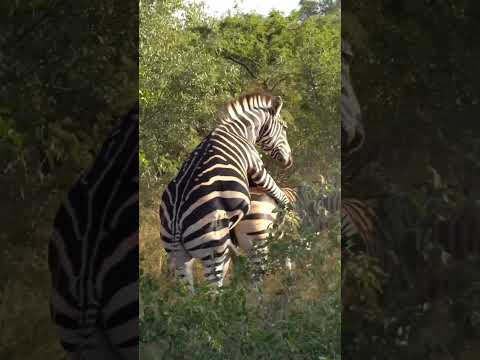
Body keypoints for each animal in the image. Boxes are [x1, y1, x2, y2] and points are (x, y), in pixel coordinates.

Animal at [159, 92, 292, 290]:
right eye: (283, 128)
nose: (289, 161)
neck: (240, 131)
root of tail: (175, 222)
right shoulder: (256, 167)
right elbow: (275, 190)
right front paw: (287, 209)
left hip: (178, 255)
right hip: (213, 248)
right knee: (215, 290)